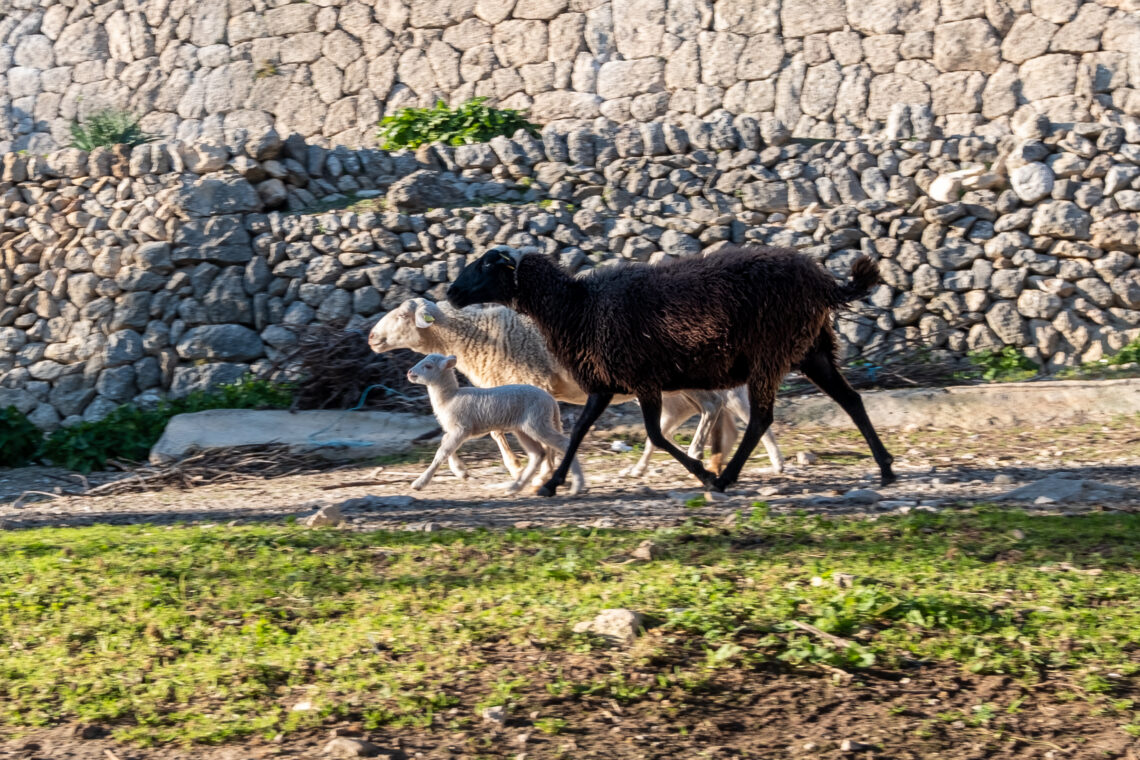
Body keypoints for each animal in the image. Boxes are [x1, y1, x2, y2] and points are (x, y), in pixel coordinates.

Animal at [405, 353, 583, 496]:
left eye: (428, 366)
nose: (409, 373)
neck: (450, 398)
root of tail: (551, 401)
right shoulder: (455, 430)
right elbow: (445, 445)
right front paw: (461, 472)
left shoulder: (463, 428)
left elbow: (442, 451)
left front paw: (419, 483)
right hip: (524, 428)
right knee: (537, 454)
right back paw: (514, 488)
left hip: (537, 423)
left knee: (563, 443)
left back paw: (577, 485)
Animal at [446, 244, 898, 499]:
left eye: (486, 266)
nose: (451, 292)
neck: (578, 306)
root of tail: (824, 280)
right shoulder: (606, 384)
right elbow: (578, 432)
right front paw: (552, 484)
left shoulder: (642, 379)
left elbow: (656, 435)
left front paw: (702, 473)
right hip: (811, 349)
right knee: (850, 399)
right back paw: (886, 468)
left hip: (770, 352)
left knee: (762, 418)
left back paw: (725, 478)